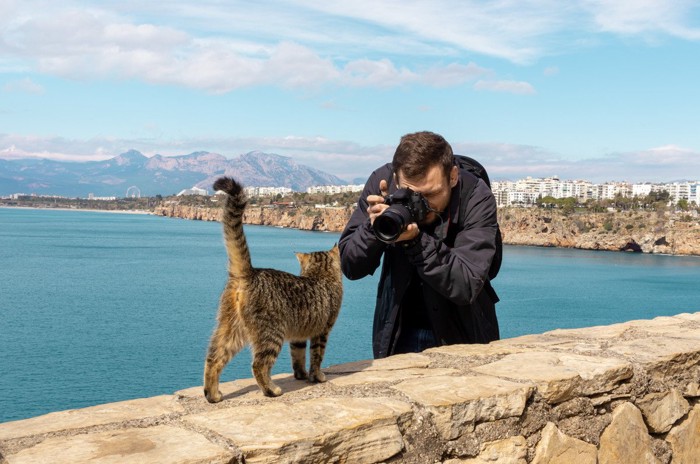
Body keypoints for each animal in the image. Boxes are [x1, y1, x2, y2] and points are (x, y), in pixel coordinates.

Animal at [202, 176, 344, 400]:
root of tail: (249, 272)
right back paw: (271, 390)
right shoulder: (322, 330)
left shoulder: (298, 336)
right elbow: (317, 357)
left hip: (230, 329)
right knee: (258, 365)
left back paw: (212, 394)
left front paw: (301, 375)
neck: (320, 274)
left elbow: (298, 357)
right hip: (271, 333)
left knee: (214, 358)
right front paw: (317, 376)